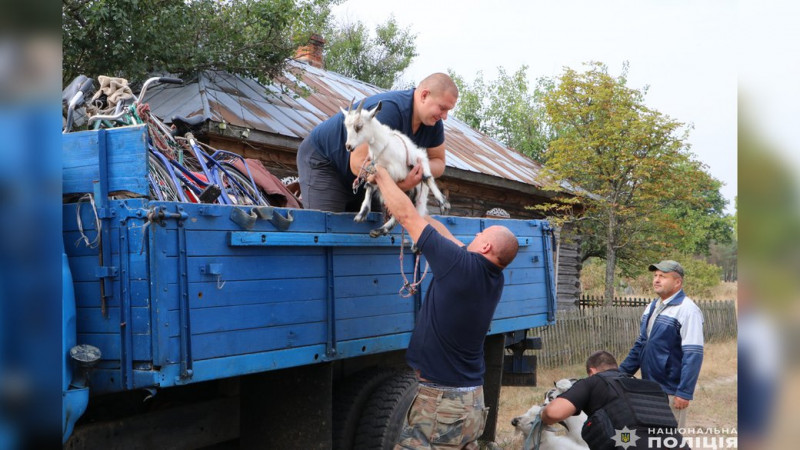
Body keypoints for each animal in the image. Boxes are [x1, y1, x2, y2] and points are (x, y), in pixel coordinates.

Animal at [338, 100, 450, 237]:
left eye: (359, 126)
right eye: (346, 127)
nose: (348, 146)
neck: (384, 147)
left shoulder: (417, 160)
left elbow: (427, 177)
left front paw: (443, 202)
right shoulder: (377, 171)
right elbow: (369, 186)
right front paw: (361, 214)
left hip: (419, 196)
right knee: (400, 213)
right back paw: (379, 230)